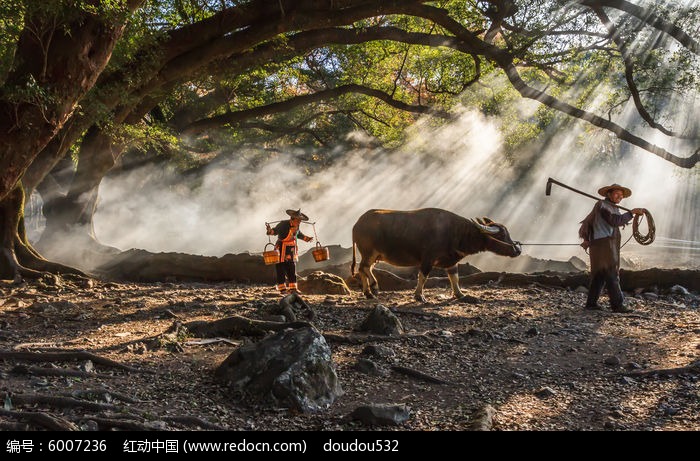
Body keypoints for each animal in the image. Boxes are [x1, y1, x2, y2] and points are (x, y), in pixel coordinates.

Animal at [350, 208, 520, 302]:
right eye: (502, 235)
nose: (517, 250)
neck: (456, 232)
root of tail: (356, 224)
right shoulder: (427, 259)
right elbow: (423, 277)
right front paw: (419, 296)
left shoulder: (451, 261)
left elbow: (454, 278)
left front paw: (459, 294)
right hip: (369, 253)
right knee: (364, 268)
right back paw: (374, 287)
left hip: (373, 256)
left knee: (363, 269)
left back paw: (368, 293)